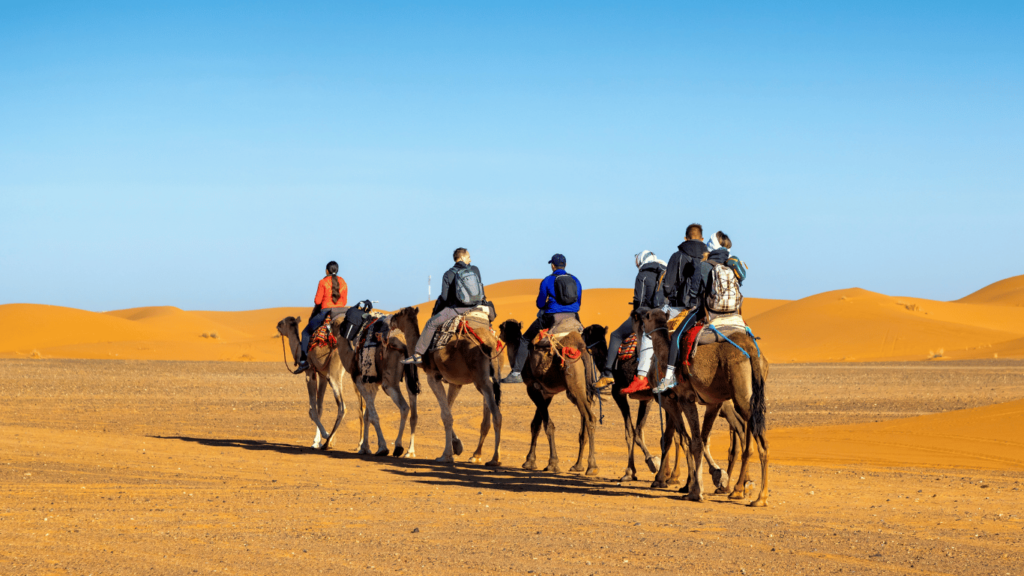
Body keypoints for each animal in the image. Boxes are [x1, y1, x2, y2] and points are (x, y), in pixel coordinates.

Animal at [387, 307, 507, 463]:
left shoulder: (433, 377)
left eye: (399, 314)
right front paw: (457, 446)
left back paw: (495, 459)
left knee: (497, 414)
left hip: (482, 379)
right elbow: (448, 412)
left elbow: (446, 415)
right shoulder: (455, 383)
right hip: (489, 379)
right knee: (488, 417)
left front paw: (446, 455)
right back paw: (476, 455)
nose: (390, 320)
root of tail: (491, 344)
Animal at [499, 315, 602, 473]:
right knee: (584, 423)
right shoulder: (546, 393)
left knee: (590, 418)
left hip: (574, 385)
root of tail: (583, 350)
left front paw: (552, 463)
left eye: (502, 327)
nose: (498, 335)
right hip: (583, 389)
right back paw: (577, 465)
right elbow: (536, 424)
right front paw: (530, 461)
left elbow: (548, 425)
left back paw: (592, 466)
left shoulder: (532, 389)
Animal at [585, 323, 663, 479]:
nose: (580, 333)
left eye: (585, 333)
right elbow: (638, 431)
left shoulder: (618, 394)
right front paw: (635, 469)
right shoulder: (646, 399)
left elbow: (630, 432)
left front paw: (643, 465)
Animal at [638, 307, 770, 504]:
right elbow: (701, 438)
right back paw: (746, 490)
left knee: (754, 437)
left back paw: (758, 497)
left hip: (740, 394)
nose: (639, 317)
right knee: (755, 436)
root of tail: (751, 350)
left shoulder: (680, 399)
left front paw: (694, 489)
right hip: (748, 394)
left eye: (646, 317)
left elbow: (689, 440)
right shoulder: (712, 402)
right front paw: (715, 477)